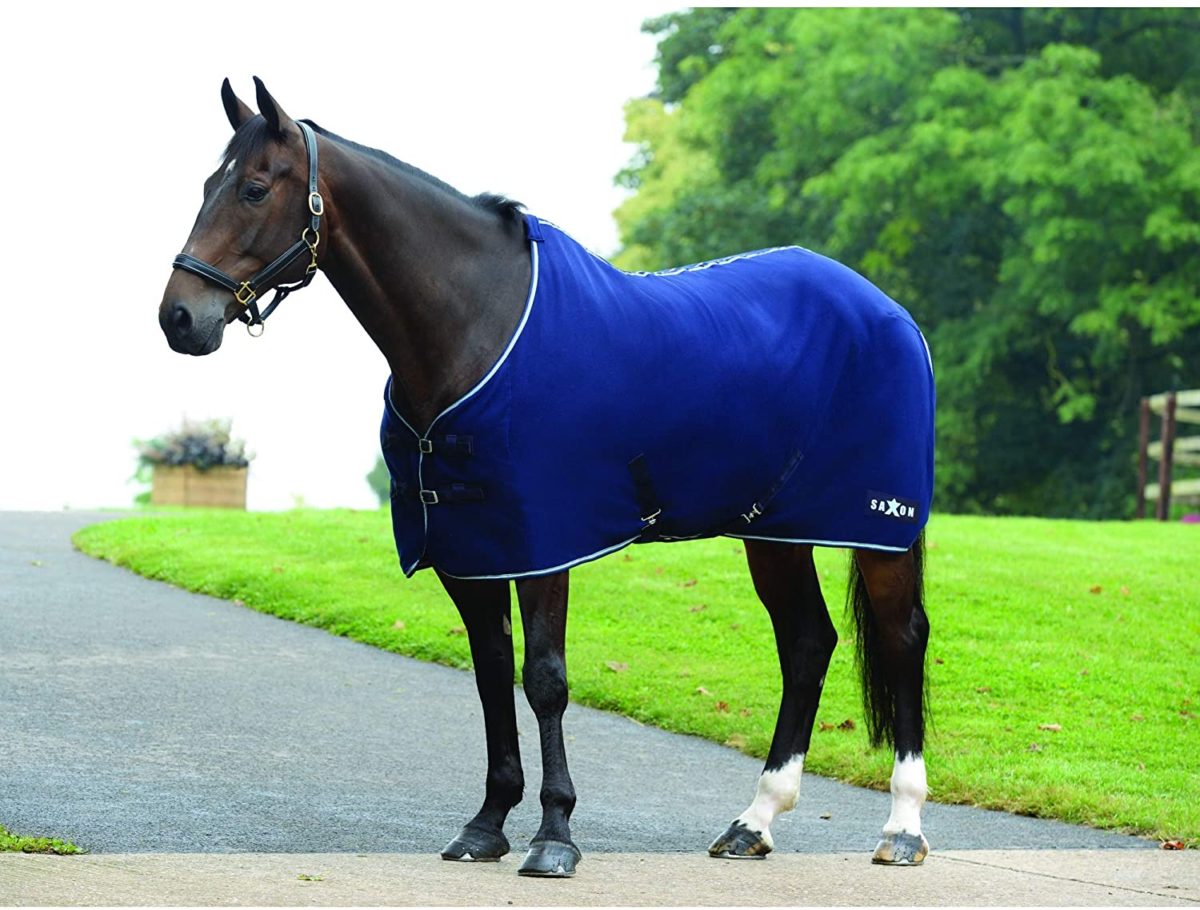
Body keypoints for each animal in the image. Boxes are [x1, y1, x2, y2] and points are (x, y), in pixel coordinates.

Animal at [159, 78, 935, 878]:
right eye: (208, 184)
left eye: (253, 188)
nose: (180, 317)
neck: (478, 325)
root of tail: (888, 309)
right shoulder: (469, 550)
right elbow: (491, 675)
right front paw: (487, 824)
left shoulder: (544, 545)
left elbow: (545, 680)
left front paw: (554, 834)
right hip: (774, 530)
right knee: (807, 643)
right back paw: (755, 820)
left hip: (875, 527)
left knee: (902, 637)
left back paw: (902, 828)